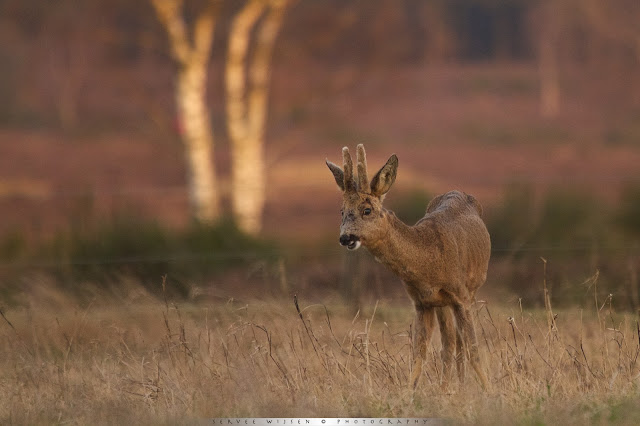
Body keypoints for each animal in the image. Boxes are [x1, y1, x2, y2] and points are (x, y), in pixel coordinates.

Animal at [328, 144, 492, 390]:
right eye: (341, 211)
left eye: (367, 210)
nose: (346, 237)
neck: (430, 261)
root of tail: (459, 191)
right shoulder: (421, 303)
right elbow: (419, 354)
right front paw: (410, 393)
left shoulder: (461, 295)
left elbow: (474, 351)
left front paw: (490, 391)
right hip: (442, 304)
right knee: (449, 343)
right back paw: (449, 388)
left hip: (471, 291)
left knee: (458, 342)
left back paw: (459, 386)